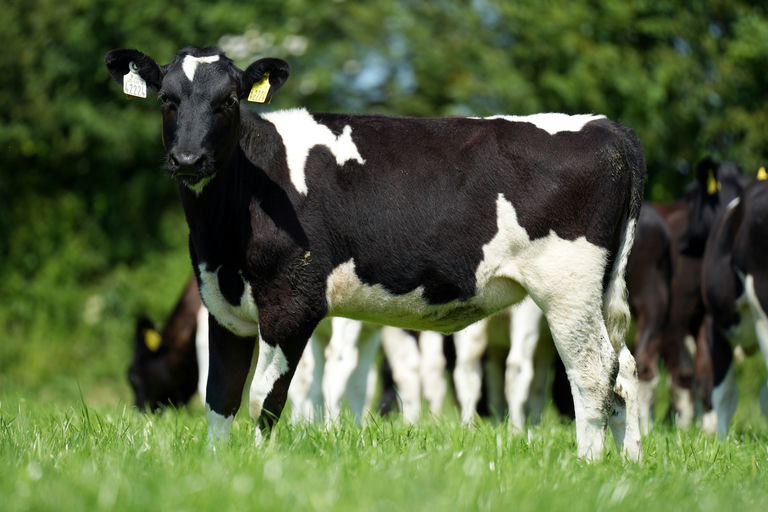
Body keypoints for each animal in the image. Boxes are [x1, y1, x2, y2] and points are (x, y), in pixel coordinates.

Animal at [105, 45, 646, 460]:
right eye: (166, 99)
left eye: (229, 100)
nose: (188, 159)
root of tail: (608, 128)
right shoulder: (223, 305)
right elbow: (219, 396)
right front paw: (219, 469)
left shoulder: (291, 303)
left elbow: (265, 397)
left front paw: (258, 469)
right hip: (600, 289)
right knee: (625, 370)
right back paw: (629, 463)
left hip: (566, 288)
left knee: (593, 372)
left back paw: (588, 463)